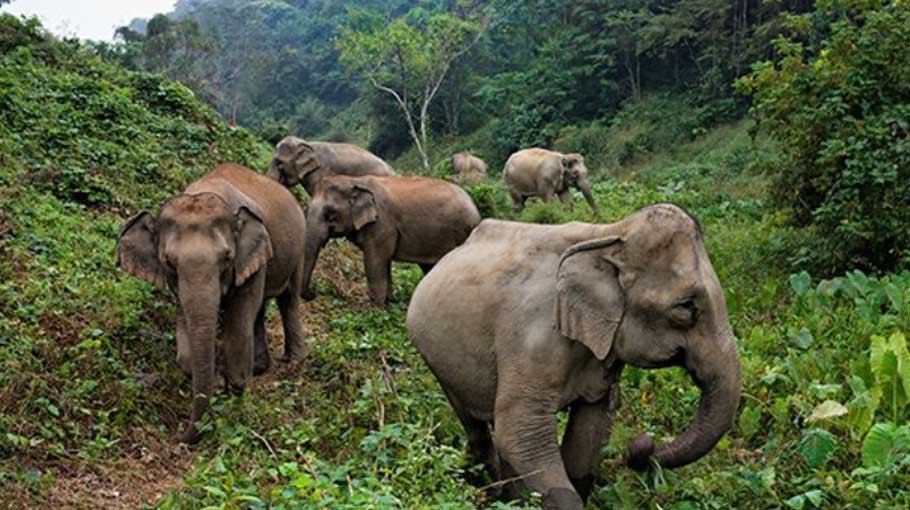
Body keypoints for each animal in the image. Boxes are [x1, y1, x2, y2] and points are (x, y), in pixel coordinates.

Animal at [117, 164, 307, 444]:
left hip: (298, 248)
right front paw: (218, 382)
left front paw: (236, 393)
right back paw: (260, 367)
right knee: (260, 310)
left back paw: (293, 362)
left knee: (288, 300)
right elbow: (186, 329)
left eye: (226, 257)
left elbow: (238, 323)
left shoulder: (247, 255)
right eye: (169, 262)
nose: (179, 436)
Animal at [301, 174, 481, 307]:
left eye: (330, 214)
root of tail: (475, 208)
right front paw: (389, 303)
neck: (353, 181)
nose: (313, 293)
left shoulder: (382, 224)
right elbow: (383, 262)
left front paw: (376, 309)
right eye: (306, 210)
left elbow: (374, 261)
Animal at [406, 204, 741, 509]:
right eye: (686, 308)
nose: (639, 444)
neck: (610, 234)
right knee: (474, 424)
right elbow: (520, 433)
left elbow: (590, 429)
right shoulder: (532, 337)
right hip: (434, 356)